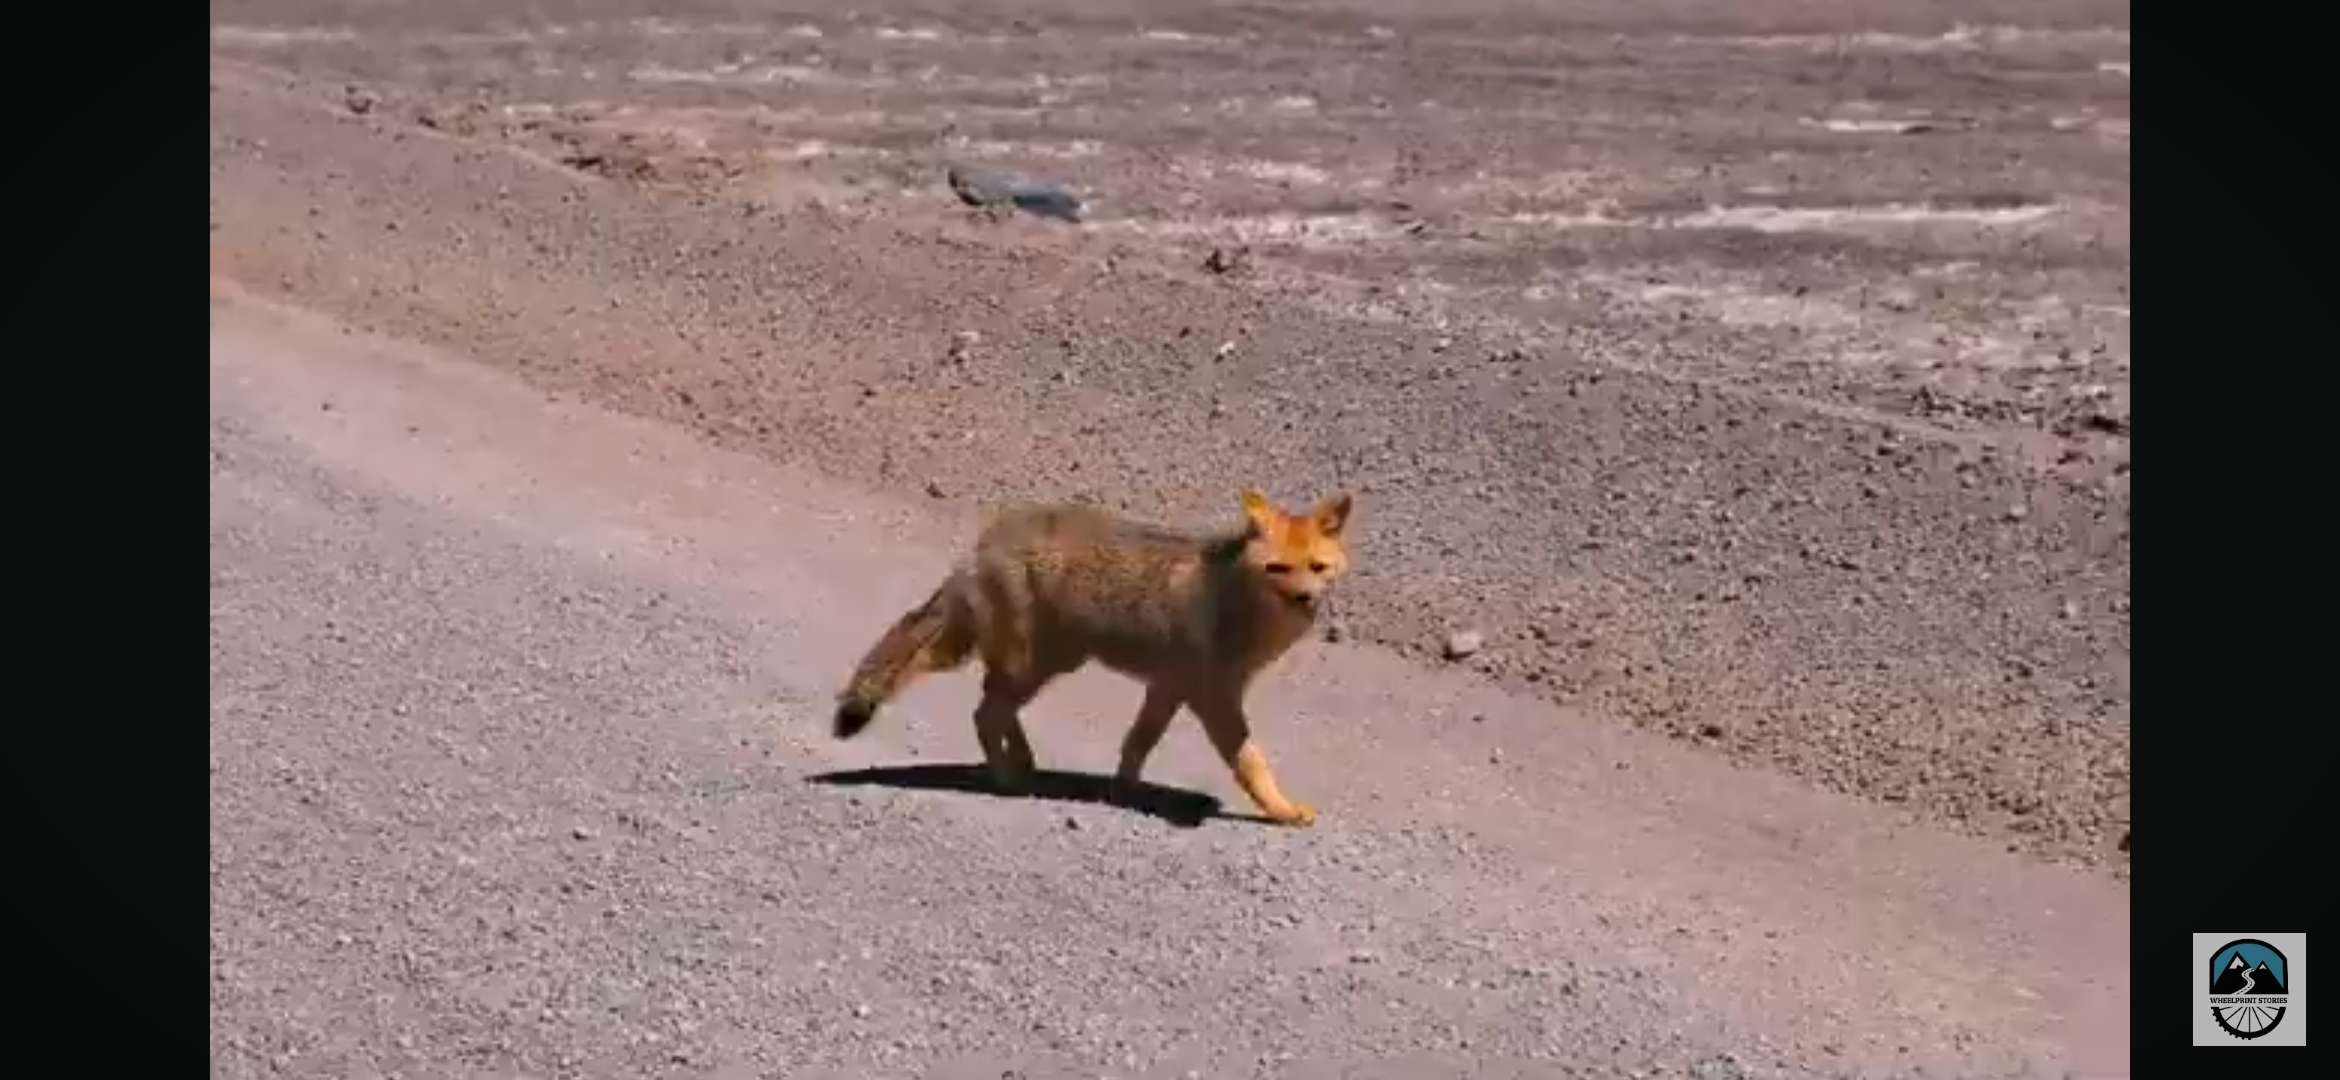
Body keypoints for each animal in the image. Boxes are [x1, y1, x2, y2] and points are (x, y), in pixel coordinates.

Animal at [831, 488, 1355, 827]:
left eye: (1318, 568)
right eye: (1278, 569)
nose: (1306, 599)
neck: (1238, 607)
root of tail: (982, 545)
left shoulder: (1168, 687)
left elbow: (1137, 743)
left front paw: (1123, 790)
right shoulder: (1215, 699)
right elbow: (1251, 762)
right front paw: (1282, 809)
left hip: (1049, 664)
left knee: (994, 706)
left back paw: (1023, 761)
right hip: (1034, 666)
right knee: (985, 712)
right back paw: (1005, 777)